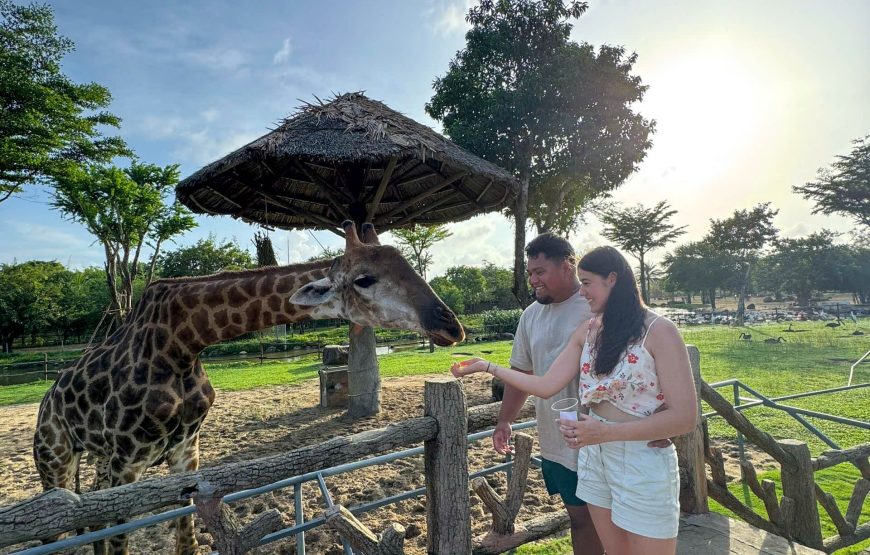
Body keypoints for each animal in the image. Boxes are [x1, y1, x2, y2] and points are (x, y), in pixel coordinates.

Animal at [31, 219, 466, 552]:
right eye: (364, 279)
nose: (451, 326)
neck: (181, 342)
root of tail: (47, 402)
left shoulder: (185, 452)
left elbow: (185, 542)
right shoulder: (128, 459)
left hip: (99, 460)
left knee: (90, 520)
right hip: (56, 459)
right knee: (57, 531)